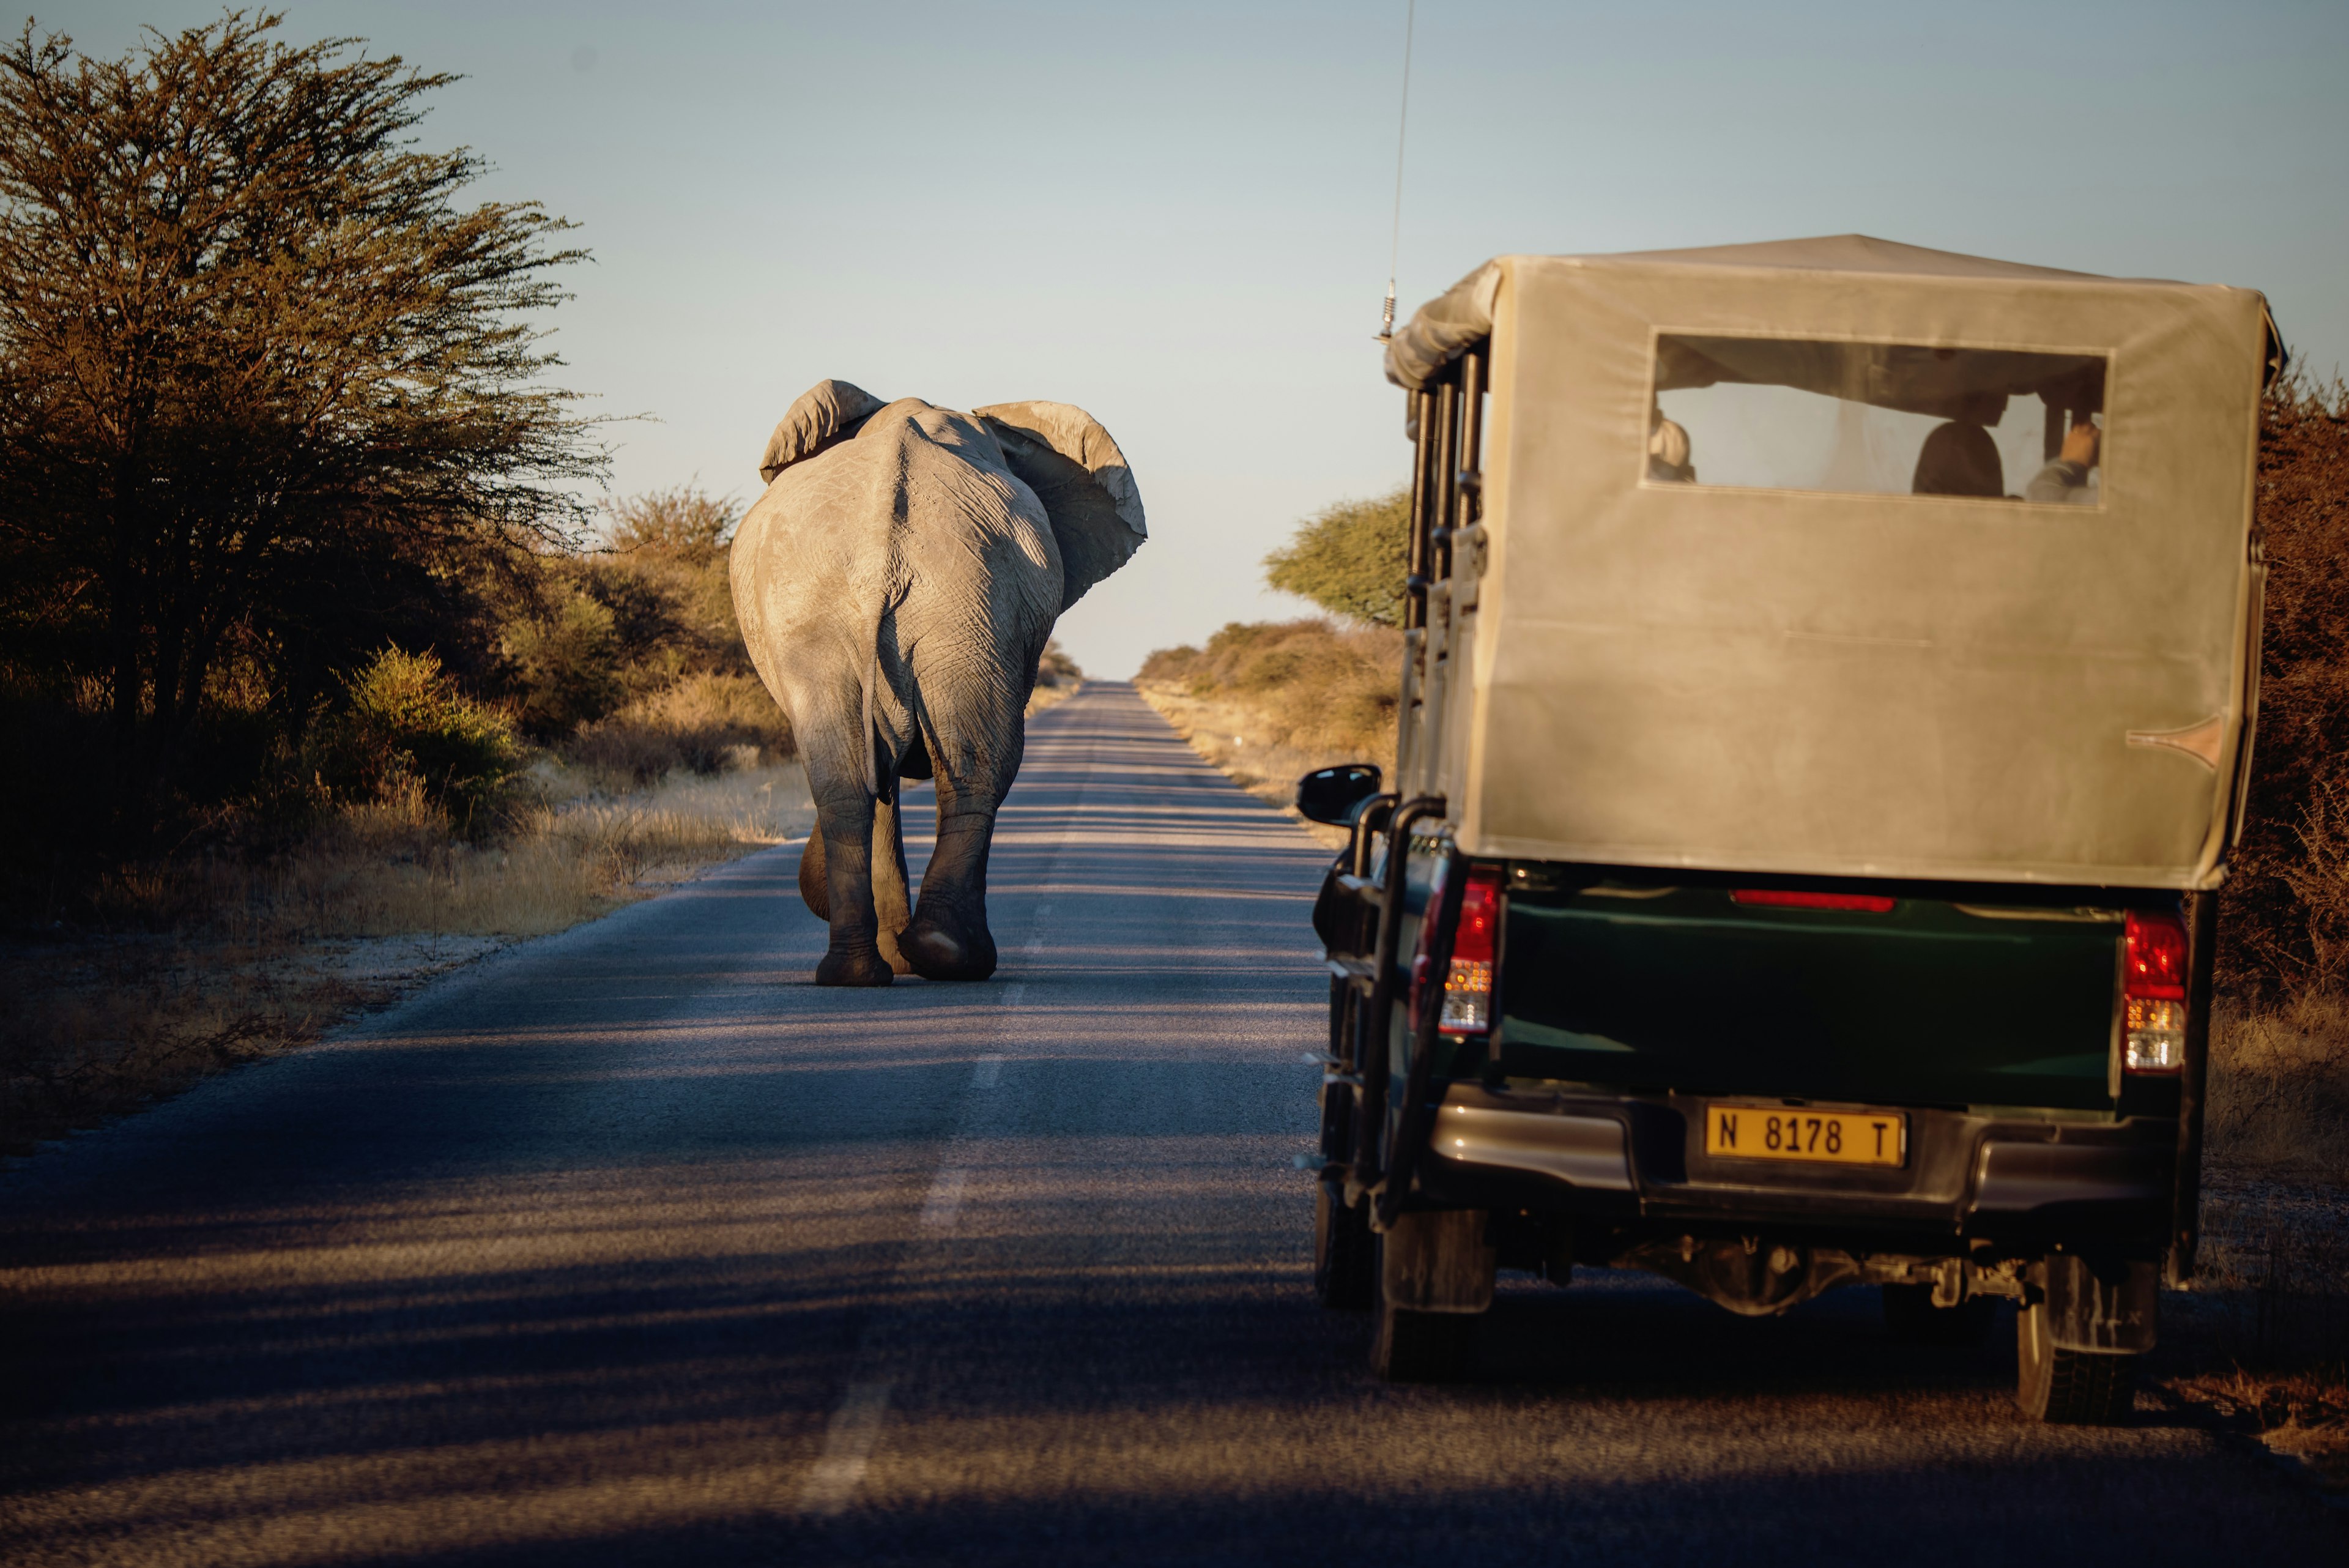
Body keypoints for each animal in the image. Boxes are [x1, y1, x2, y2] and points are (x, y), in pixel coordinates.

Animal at [723, 381, 1146, 987]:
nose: (811, 886)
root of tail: (883, 552)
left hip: (941, 607)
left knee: (859, 780)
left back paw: (877, 967)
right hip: (942, 604)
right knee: (970, 771)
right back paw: (937, 959)